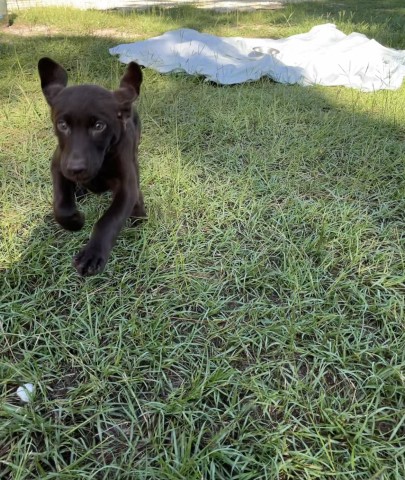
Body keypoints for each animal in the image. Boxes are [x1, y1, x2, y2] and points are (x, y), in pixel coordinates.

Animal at [38, 59, 145, 278]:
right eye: (62, 125)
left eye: (99, 126)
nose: (76, 168)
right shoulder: (59, 164)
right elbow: (60, 204)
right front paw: (75, 220)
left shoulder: (126, 185)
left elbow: (109, 219)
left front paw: (92, 255)